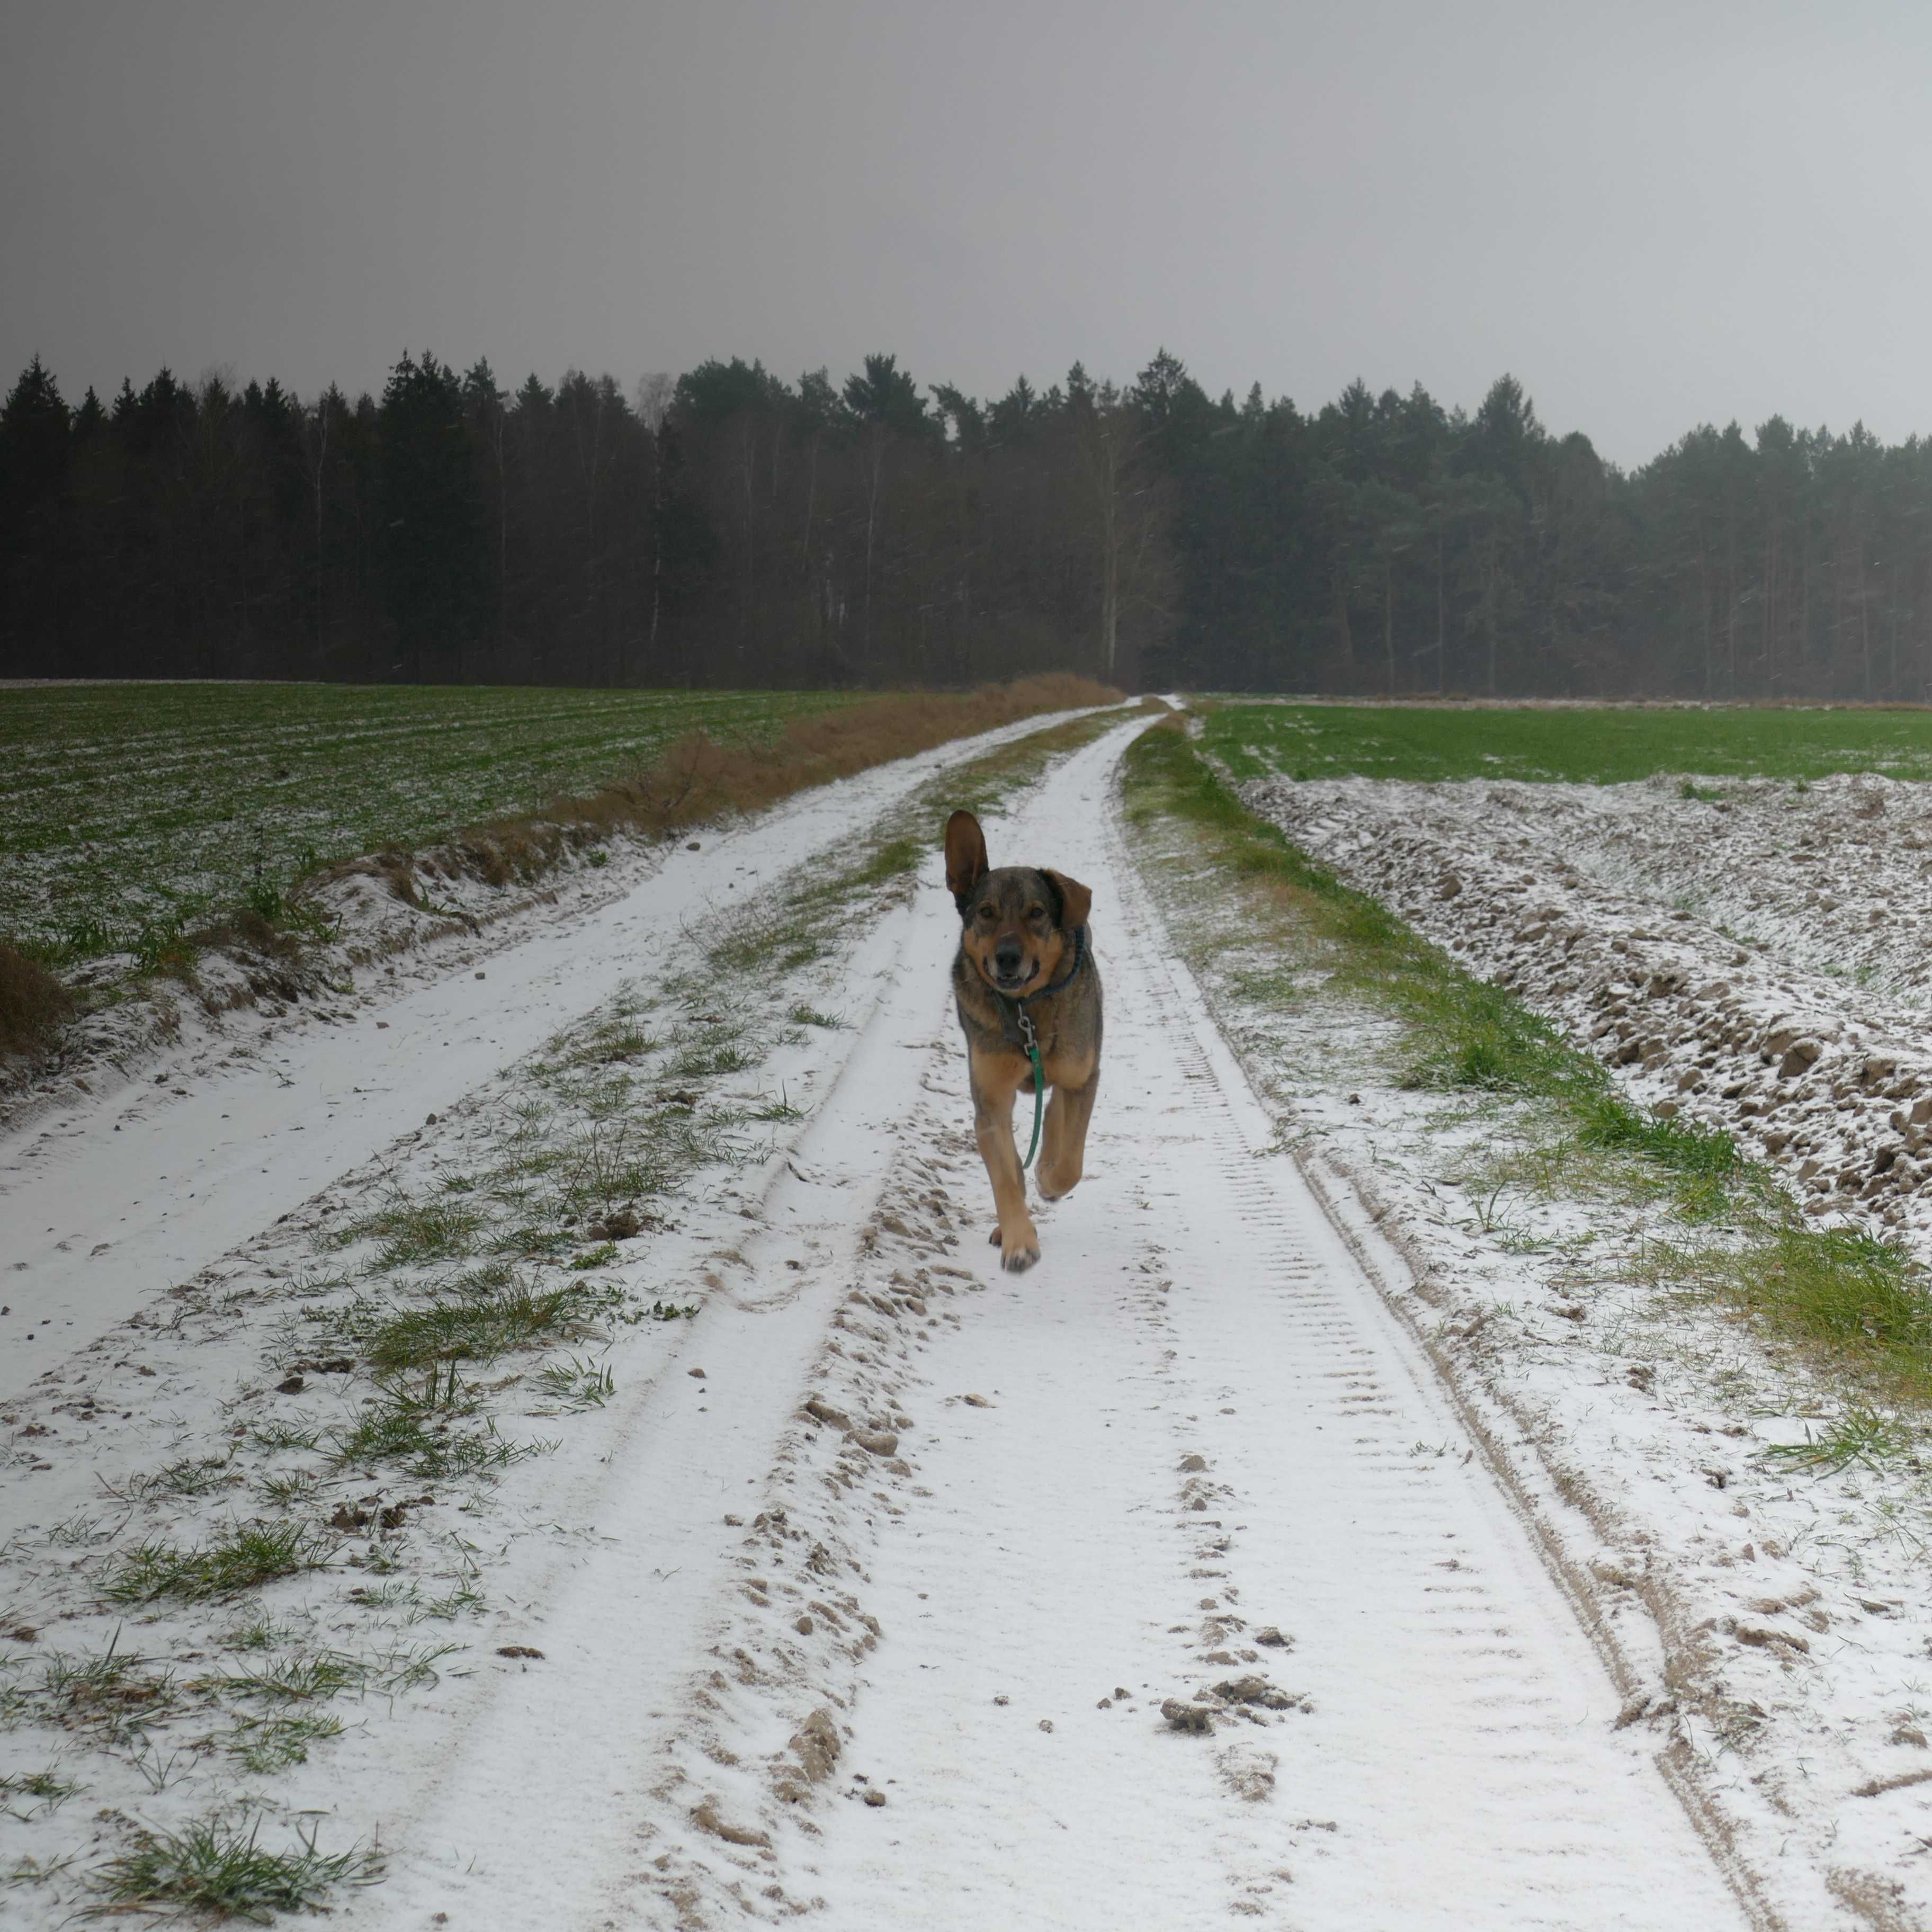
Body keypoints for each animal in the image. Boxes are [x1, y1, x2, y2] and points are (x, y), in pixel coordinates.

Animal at [946, 807, 1105, 1275]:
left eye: (1036, 913)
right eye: (986, 912)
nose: (1008, 957)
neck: (1025, 1011)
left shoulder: (1082, 1077)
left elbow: (1070, 1161)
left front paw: (1048, 1181)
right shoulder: (990, 1105)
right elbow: (1006, 1176)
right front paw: (1019, 1241)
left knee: (1056, 1117)